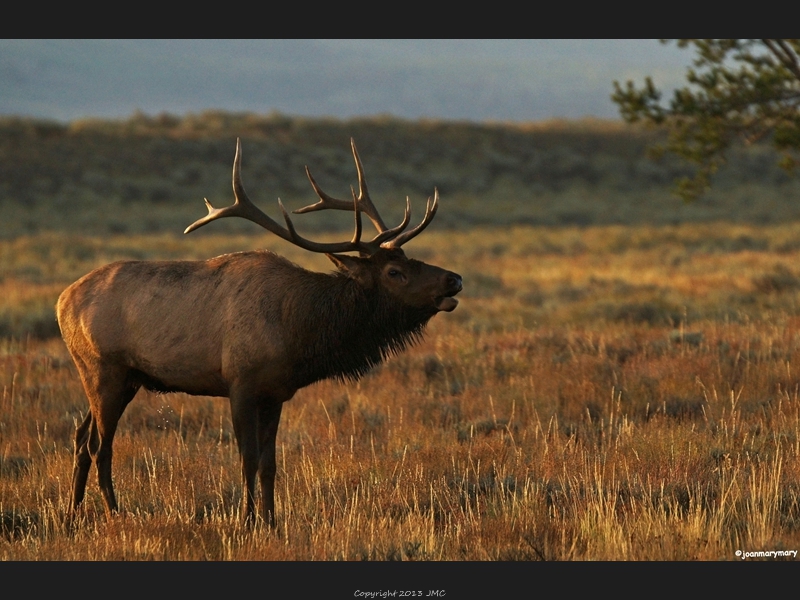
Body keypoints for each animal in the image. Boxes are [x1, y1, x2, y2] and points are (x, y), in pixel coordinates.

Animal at [56, 138, 462, 528]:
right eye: (394, 272)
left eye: (408, 259)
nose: (454, 278)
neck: (298, 331)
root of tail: (62, 300)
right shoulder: (240, 383)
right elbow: (248, 459)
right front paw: (246, 521)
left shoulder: (275, 394)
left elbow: (270, 464)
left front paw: (272, 522)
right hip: (102, 368)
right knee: (99, 445)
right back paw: (114, 513)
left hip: (126, 379)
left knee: (80, 436)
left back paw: (72, 516)